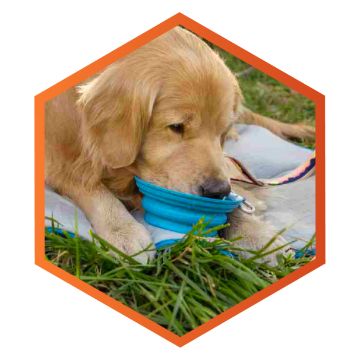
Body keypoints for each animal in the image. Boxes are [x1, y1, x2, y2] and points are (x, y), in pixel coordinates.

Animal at [45, 27, 316, 262]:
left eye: (221, 132)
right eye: (176, 127)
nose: (216, 192)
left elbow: (231, 191)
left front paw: (257, 235)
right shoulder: (57, 161)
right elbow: (92, 189)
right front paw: (122, 229)